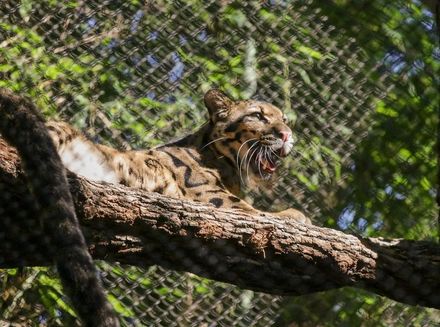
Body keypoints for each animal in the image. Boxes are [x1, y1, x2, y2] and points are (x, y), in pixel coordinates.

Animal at [49, 88, 310, 224]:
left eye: (284, 120)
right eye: (257, 116)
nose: (287, 134)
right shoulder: (214, 197)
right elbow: (257, 212)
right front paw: (295, 215)